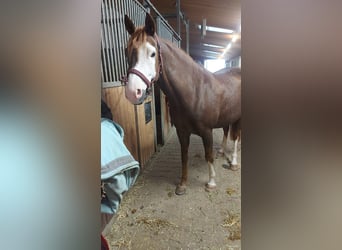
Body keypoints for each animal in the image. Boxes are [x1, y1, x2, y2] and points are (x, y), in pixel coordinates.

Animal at [123, 13, 240, 195]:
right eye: (126, 52)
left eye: (152, 53)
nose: (132, 92)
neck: (195, 91)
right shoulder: (182, 131)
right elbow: (184, 156)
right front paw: (182, 184)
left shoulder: (207, 132)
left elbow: (208, 156)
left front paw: (211, 183)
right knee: (227, 131)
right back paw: (222, 151)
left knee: (235, 138)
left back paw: (233, 163)